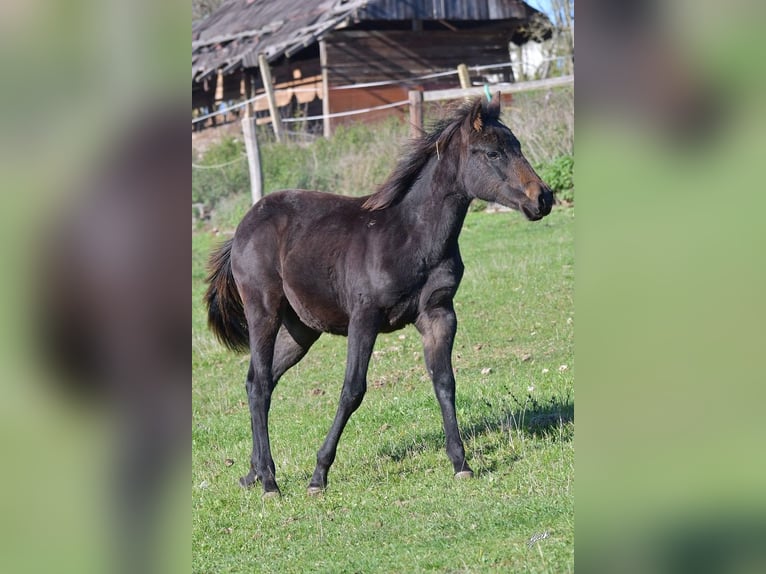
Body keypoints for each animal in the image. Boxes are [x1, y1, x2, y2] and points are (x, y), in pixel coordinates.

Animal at [204, 94, 552, 500]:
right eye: (492, 153)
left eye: (518, 146)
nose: (542, 198)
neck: (411, 236)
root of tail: (241, 228)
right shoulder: (364, 318)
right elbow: (352, 390)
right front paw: (318, 475)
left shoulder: (439, 314)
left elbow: (444, 381)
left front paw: (461, 463)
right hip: (264, 311)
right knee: (259, 384)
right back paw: (270, 483)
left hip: (300, 330)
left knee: (258, 382)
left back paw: (253, 473)